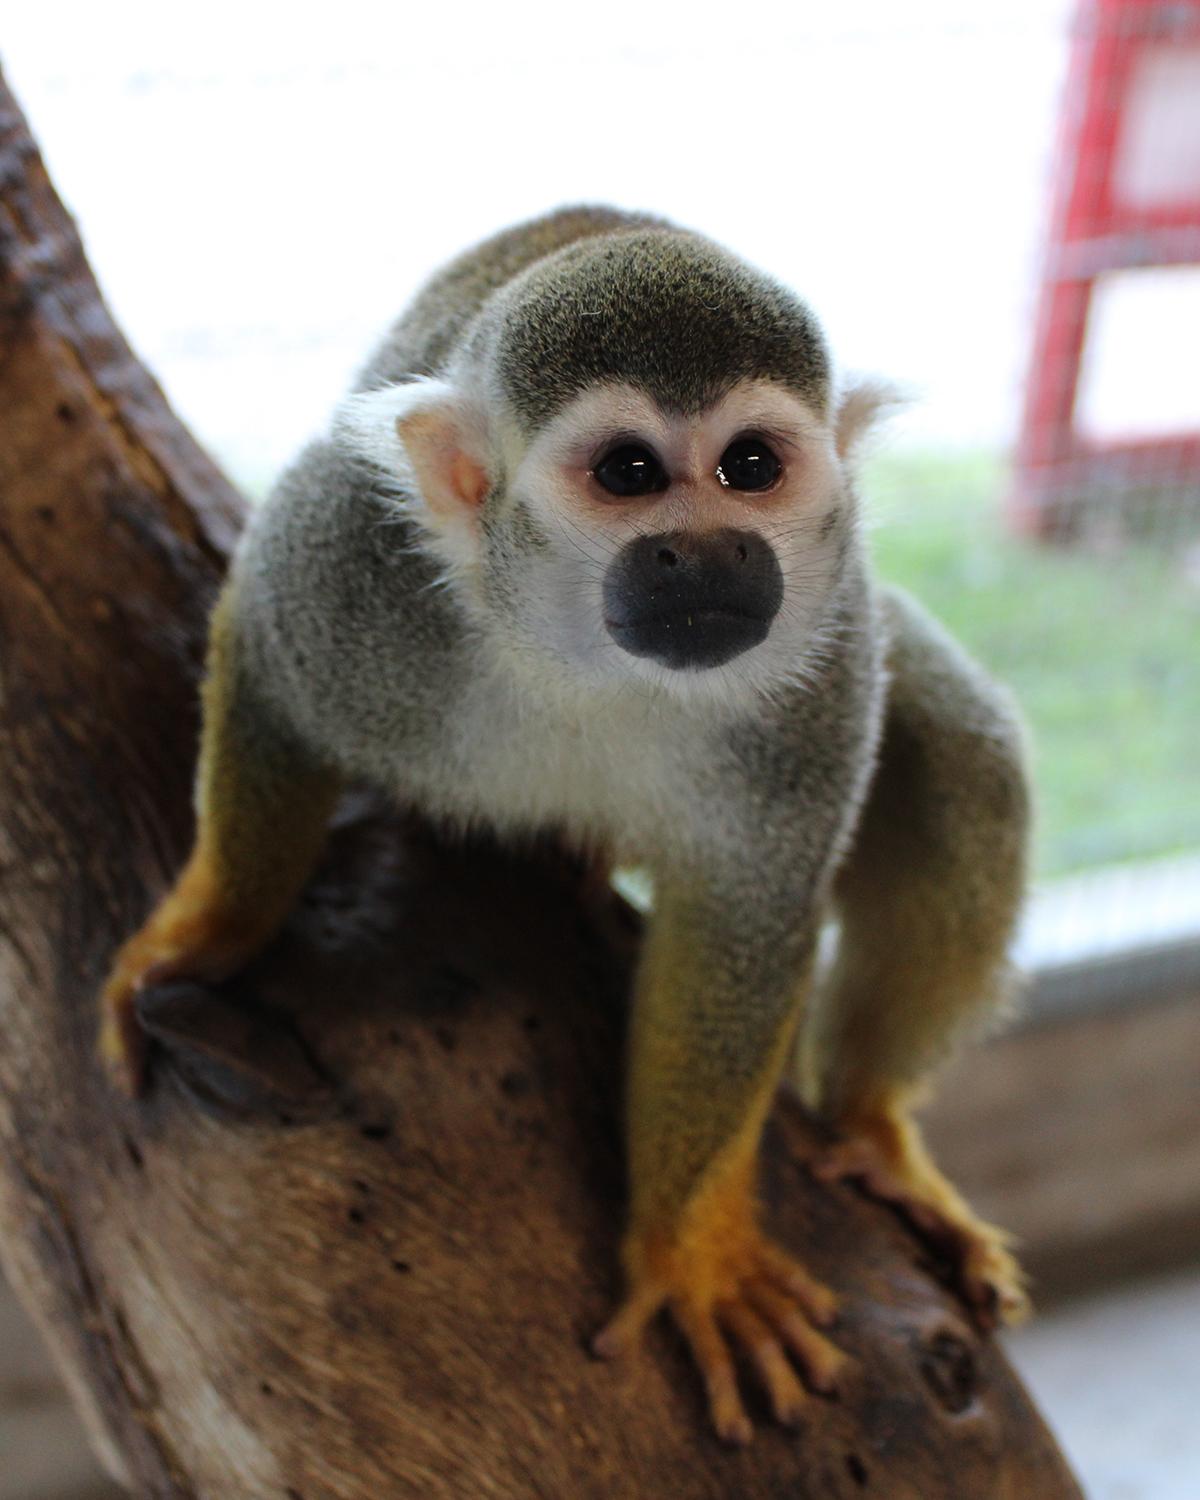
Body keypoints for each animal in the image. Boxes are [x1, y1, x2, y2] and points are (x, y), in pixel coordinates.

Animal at [100, 208, 1032, 1440]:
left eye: (749, 467)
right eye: (628, 473)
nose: (711, 551)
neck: (585, 660)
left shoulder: (825, 652)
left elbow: (743, 913)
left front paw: (690, 1250)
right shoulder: (361, 569)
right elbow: (263, 641)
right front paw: (202, 935)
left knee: (976, 767)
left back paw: (873, 1127)